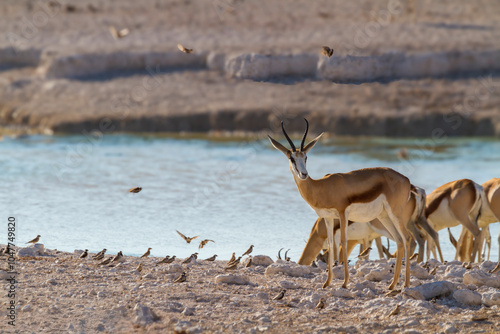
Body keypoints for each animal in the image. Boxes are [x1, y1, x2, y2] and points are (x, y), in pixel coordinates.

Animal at [270, 119, 414, 290]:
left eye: (306, 157)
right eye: (292, 158)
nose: (304, 174)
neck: (321, 187)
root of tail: (406, 180)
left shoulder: (342, 213)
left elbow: (343, 243)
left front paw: (344, 283)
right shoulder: (328, 218)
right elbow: (332, 245)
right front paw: (327, 282)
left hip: (395, 214)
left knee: (407, 238)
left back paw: (405, 284)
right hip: (384, 216)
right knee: (399, 240)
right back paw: (392, 285)